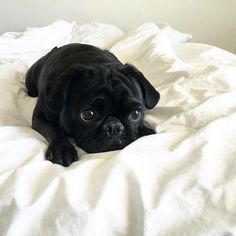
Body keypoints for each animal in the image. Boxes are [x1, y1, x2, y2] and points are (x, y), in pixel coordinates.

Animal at [24, 42, 159, 166]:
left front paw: (146, 131)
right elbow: (54, 131)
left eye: (135, 114)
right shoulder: (41, 117)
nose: (114, 126)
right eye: (88, 115)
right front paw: (62, 149)